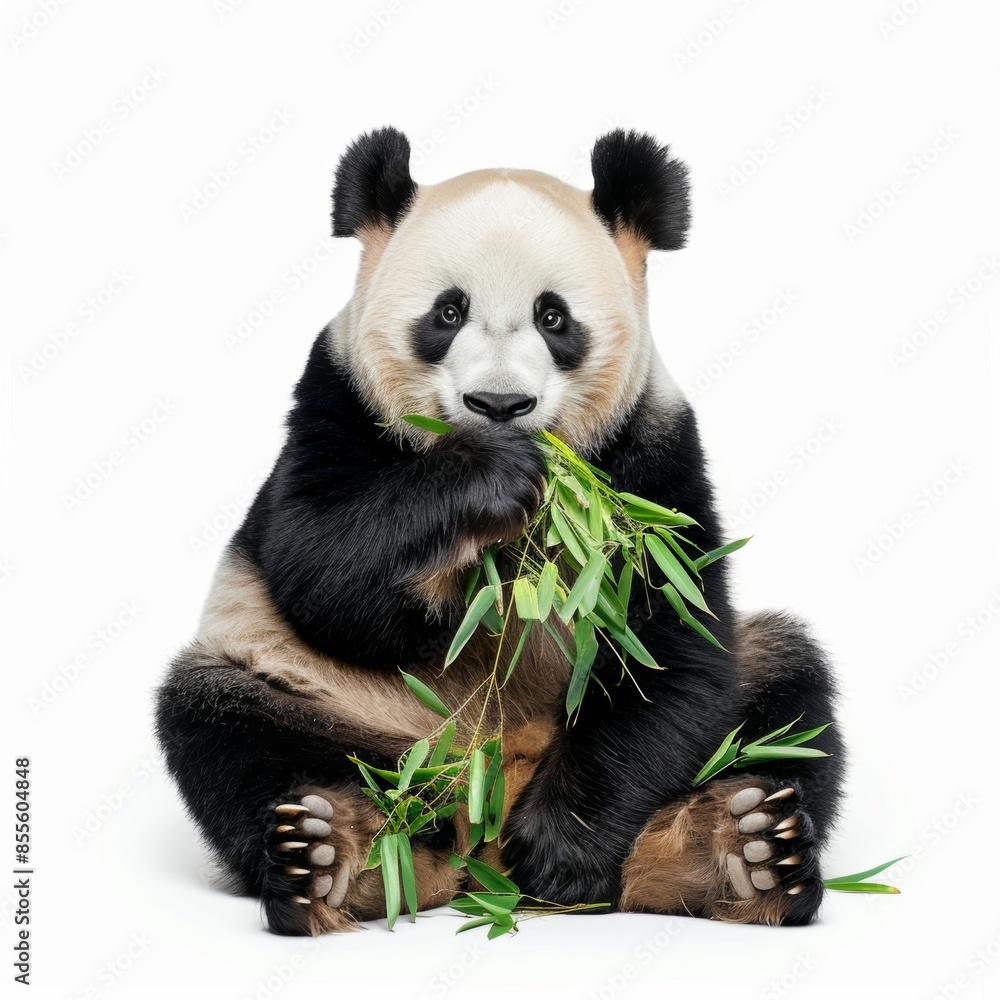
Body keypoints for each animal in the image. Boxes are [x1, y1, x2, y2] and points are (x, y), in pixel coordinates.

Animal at [155, 127, 844, 937]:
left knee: (784, 691)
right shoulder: (335, 395)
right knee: (226, 727)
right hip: (321, 697)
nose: (499, 405)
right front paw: (490, 479)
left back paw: (743, 855)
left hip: (739, 701)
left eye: (554, 317)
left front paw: (560, 851)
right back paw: (331, 857)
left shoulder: (653, 457)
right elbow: (325, 571)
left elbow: (671, 640)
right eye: (448, 312)